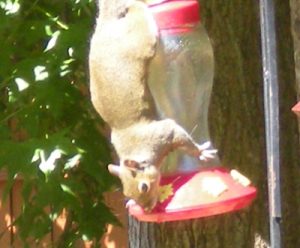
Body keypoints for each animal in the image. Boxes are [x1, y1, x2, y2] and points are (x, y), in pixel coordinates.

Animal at [88, 0, 216, 212]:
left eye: (144, 186)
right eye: (126, 191)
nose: (147, 208)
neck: (135, 147)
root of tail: (106, 24)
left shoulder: (162, 134)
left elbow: (183, 140)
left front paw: (201, 152)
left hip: (143, 37)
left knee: (139, 15)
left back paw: (141, 5)